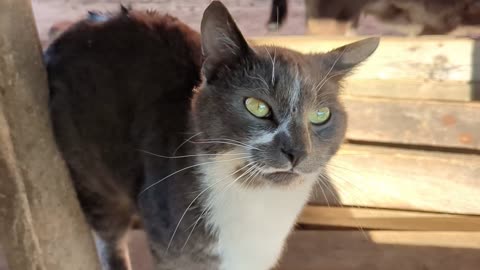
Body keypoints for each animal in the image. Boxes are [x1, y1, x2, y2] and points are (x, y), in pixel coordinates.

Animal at [46, 1, 378, 268]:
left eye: (321, 116)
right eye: (257, 106)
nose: (297, 151)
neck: (259, 205)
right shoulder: (175, 254)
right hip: (96, 179)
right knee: (110, 236)